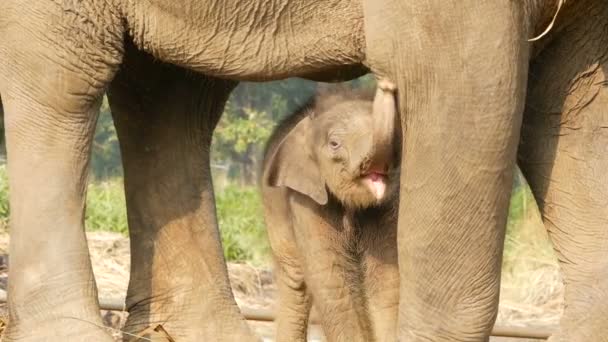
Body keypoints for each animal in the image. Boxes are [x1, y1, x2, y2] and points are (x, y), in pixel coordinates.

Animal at [260, 82, 400, 342]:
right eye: (334, 144)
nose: (386, 84)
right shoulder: (306, 200)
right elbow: (331, 280)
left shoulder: (386, 206)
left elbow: (385, 277)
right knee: (296, 284)